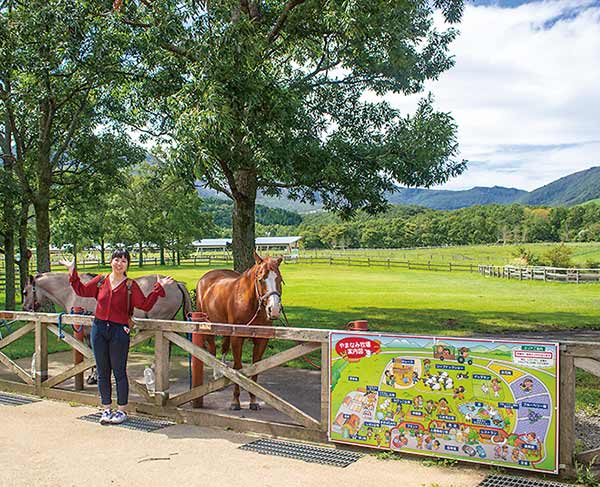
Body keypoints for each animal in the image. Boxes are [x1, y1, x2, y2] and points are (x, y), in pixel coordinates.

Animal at [196, 252, 282, 412]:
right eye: (261, 279)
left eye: (280, 279)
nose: (273, 310)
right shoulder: (237, 339)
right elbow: (238, 368)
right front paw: (235, 401)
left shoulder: (261, 341)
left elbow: (255, 368)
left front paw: (253, 400)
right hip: (208, 325)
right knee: (212, 350)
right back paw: (217, 376)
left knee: (224, 348)